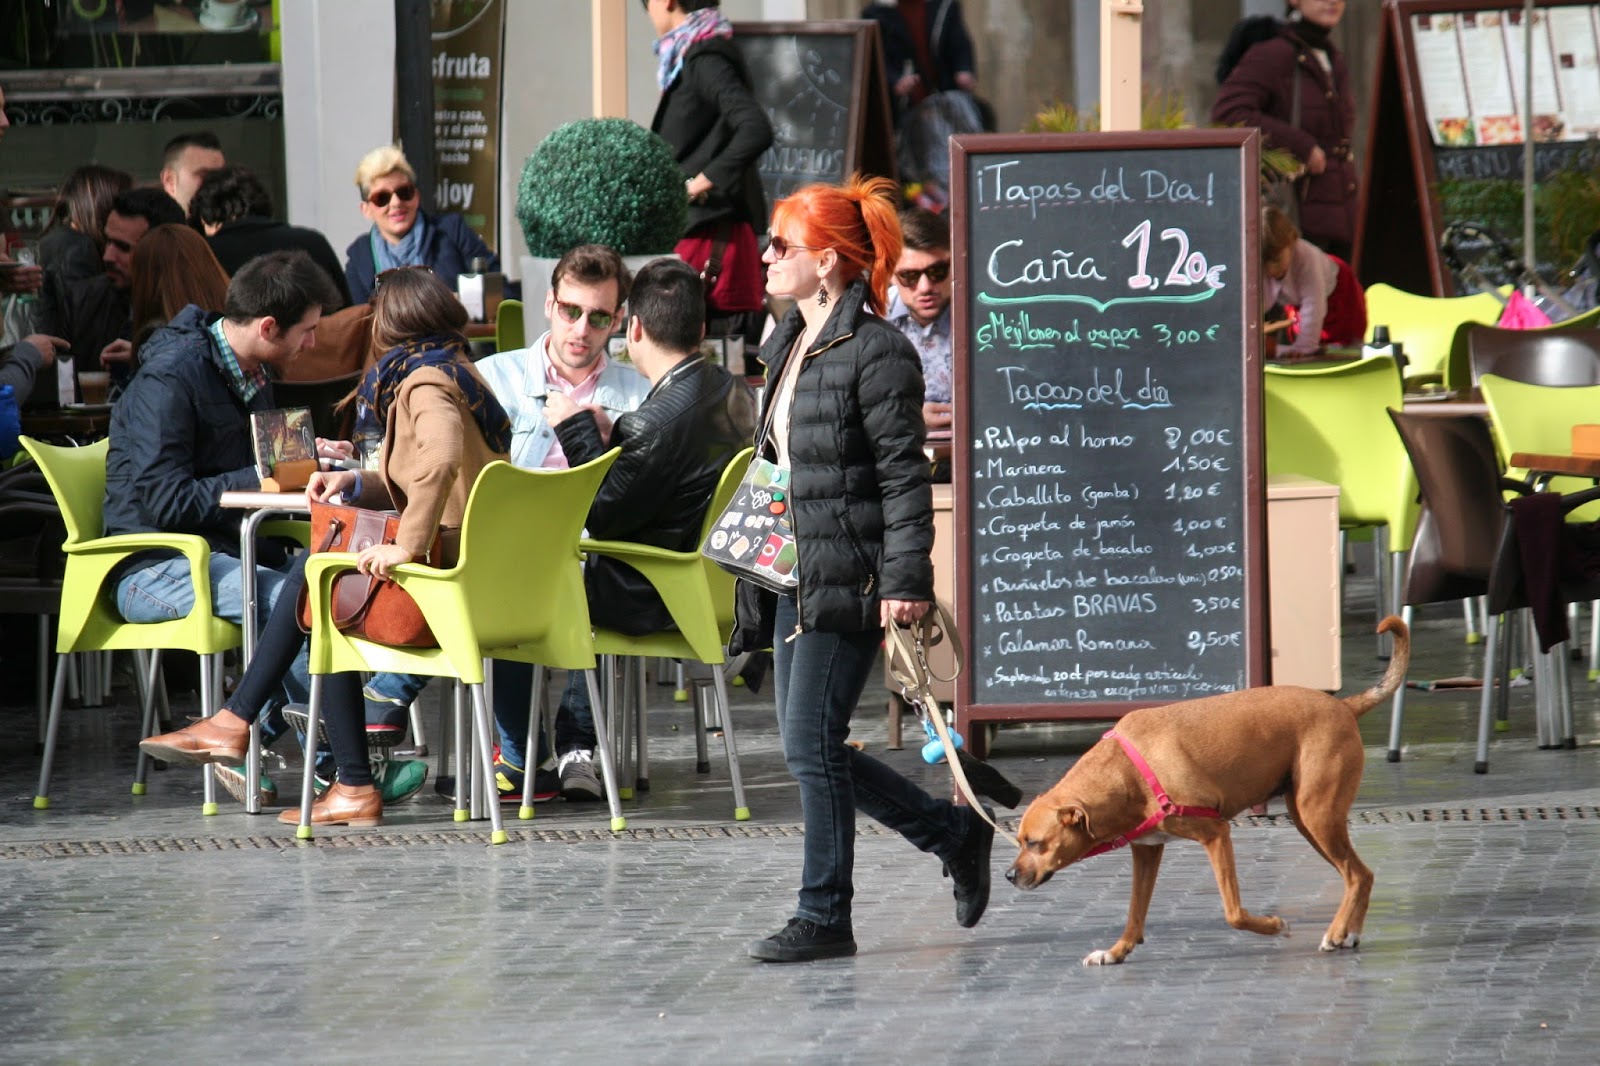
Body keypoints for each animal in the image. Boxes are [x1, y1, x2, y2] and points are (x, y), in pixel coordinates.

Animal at [1006, 616, 1409, 966]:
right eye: (1021, 841)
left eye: (1035, 844)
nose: (1009, 876)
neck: (1126, 772)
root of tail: (1341, 705)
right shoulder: (1146, 851)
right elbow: (1135, 913)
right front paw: (1116, 951)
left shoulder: (1216, 833)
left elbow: (1233, 913)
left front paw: (1273, 925)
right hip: (1308, 821)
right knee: (1361, 875)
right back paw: (1350, 933)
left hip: (1318, 816)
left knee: (1355, 874)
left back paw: (1338, 933)